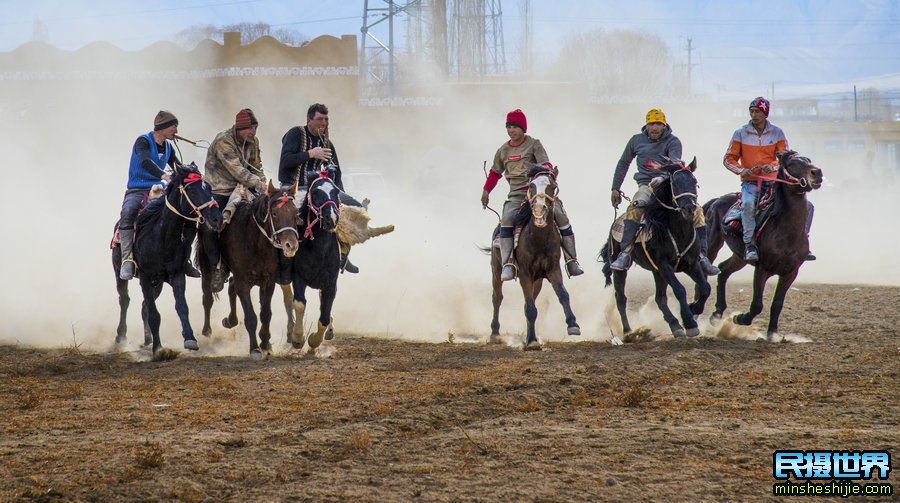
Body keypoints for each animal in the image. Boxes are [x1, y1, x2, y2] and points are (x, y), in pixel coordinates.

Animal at [132, 163, 223, 352]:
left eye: (209, 188)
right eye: (193, 190)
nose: (217, 218)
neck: (162, 239)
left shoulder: (177, 274)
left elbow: (182, 307)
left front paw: (190, 339)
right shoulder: (145, 277)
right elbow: (154, 314)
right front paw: (159, 349)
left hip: (158, 284)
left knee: (144, 307)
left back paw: (147, 339)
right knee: (125, 301)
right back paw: (121, 339)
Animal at [199, 183, 300, 360]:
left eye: (295, 213)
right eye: (274, 213)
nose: (291, 245)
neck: (254, 241)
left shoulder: (268, 282)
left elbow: (265, 314)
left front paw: (266, 344)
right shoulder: (243, 283)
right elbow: (251, 317)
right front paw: (255, 349)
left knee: (231, 288)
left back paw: (230, 320)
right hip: (206, 269)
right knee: (208, 298)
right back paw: (207, 331)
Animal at [282, 169, 342, 350]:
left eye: (336, 191)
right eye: (315, 193)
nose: (331, 218)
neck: (319, 251)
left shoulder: (331, 283)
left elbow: (324, 315)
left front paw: (315, 340)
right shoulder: (298, 278)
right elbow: (299, 303)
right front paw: (298, 338)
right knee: (288, 299)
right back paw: (290, 331)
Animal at [488, 165, 580, 350]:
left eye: (552, 186)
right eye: (531, 186)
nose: (539, 210)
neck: (539, 239)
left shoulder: (553, 270)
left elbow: (563, 295)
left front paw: (573, 324)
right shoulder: (524, 273)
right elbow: (530, 308)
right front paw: (531, 341)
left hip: (537, 280)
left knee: (530, 300)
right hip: (496, 271)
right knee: (497, 298)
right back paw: (494, 333)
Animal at [596, 158, 712, 338]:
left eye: (694, 182)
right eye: (675, 183)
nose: (689, 208)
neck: (677, 233)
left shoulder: (691, 264)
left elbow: (705, 288)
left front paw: (693, 309)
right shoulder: (664, 266)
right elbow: (679, 290)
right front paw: (690, 323)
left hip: (656, 272)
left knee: (660, 298)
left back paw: (675, 325)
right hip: (622, 270)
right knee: (621, 298)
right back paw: (628, 331)